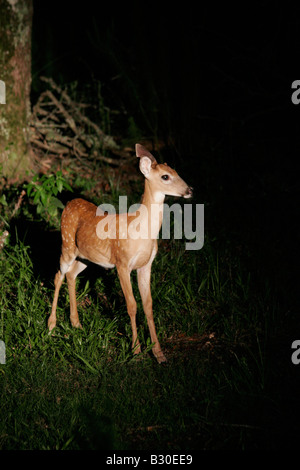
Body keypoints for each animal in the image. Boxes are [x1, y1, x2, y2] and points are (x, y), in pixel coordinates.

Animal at [47, 143, 192, 364]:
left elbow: (148, 305)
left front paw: (159, 353)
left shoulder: (146, 265)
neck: (142, 232)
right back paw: (51, 325)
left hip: (86, 256)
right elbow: (131, 305)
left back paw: (76, 323)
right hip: (67, 244)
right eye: (166, 176)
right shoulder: (122, 263)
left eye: (177, 172)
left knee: (71, 275)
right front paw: (136, 350)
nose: (189, 190)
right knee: (58, 275)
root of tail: (70, 202)